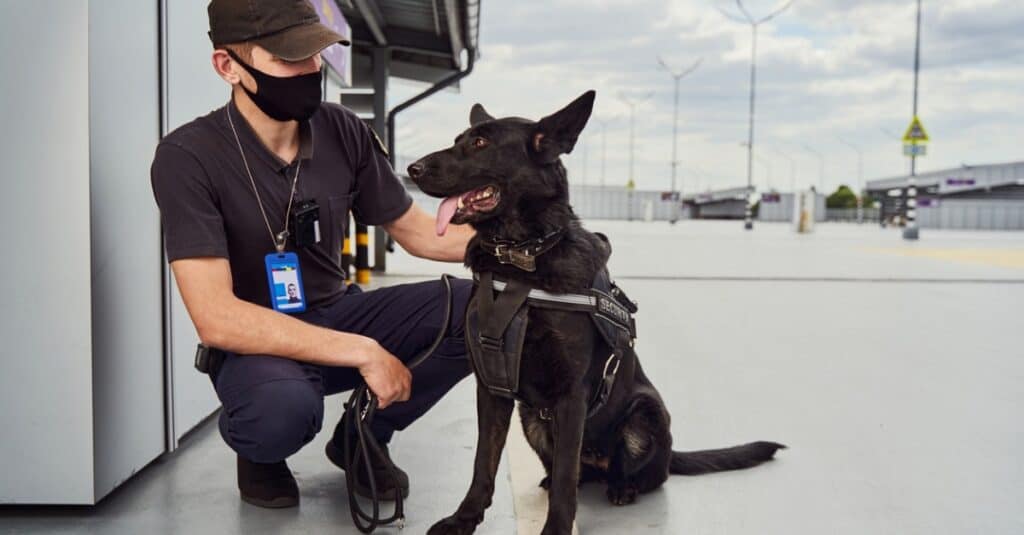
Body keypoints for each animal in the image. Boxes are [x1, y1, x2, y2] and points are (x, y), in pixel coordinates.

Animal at [407, 90, 782, 532]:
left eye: (481, 143)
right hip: (532, 418)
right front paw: (463, 519)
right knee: (571, 469)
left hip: (645, 413)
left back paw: (623, 486)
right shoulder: (493, 388)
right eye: (458, 139)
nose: (411, 168)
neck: (523, 259)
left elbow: (566, 481)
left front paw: (555, 528)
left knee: (635, 473)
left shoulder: (572, 395)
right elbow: (485, 462)